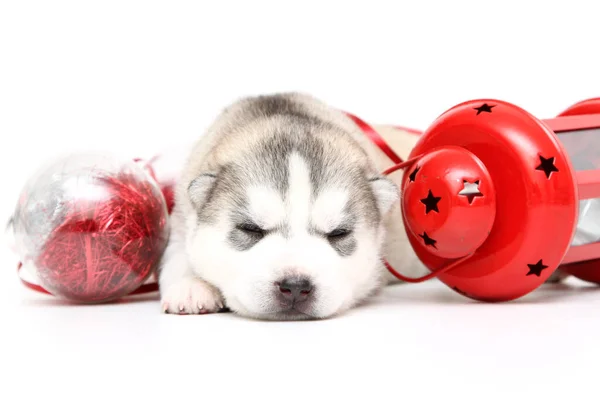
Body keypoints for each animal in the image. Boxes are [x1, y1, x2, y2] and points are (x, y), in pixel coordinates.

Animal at [157, 93, 424, 318]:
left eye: (338, 233)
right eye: (251, 229)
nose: (295, 286)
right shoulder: (181, 218)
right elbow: (178, 255)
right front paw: (191, 286)